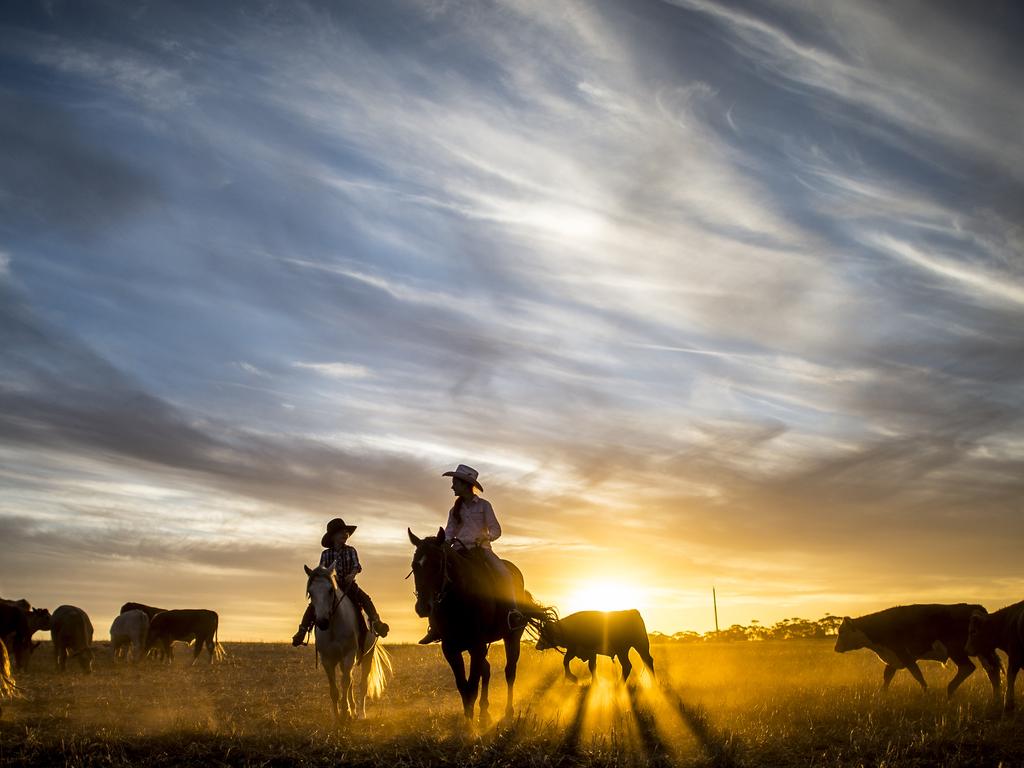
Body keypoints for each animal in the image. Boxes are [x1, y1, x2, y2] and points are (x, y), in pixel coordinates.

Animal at [303, 565, 391, 720]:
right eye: (310, 592)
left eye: (330, 590)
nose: (322, 621)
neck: (333, 626)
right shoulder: (327, 660)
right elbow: (334, 689)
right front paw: (338, 717)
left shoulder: (349, 655)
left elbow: (345, 683)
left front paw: (344, 712)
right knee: (350, 680)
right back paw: (353, 710)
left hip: (367, 655)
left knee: (362, 683)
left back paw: (360, 713)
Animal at [407, 528, 552, 729]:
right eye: (415, 565)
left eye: (437, 564)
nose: (422, 607)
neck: (458, 601)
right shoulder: (451, 649)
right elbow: (463, 686)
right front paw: (469, 721)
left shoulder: (477, 646)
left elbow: (472, 686)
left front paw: (471, 727)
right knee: (487, 671)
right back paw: (484, 713)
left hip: (511, 638)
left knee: (509, 672)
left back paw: (508, 713)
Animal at [831, 606, 999, 708]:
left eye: (842, 632)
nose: (836, 648)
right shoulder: (894, 659)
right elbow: (887, 676)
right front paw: (882, 695)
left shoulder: (905, 655)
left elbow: (917, 675)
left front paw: (926, 693)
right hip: (981, 651)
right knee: (992, 670)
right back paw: (996, 696)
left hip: (957, 651)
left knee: (968, 667)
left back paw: (950, 691)